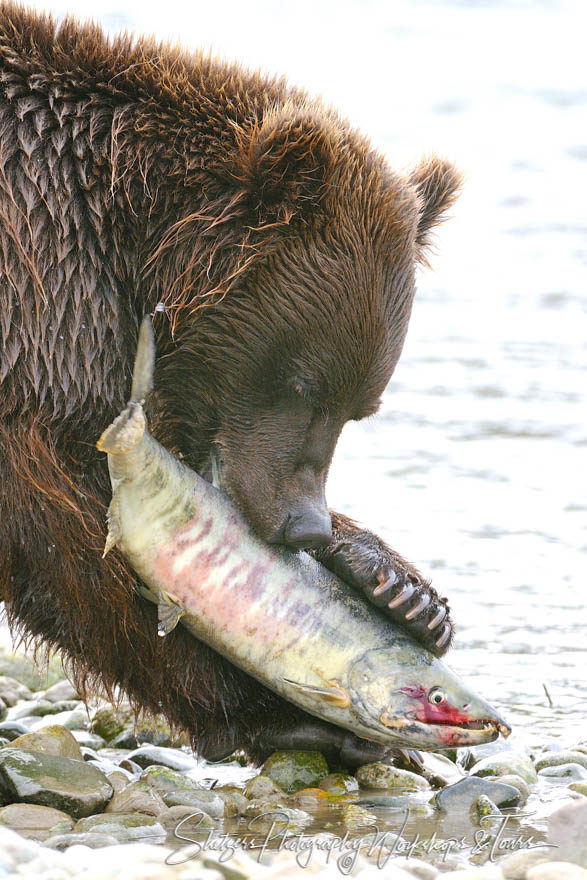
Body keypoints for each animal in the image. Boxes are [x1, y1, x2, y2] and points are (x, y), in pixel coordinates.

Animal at [0, 5, 464, 764]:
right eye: (303, 385)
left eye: (361, 409)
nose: (305, 524)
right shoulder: (40, 300)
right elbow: (61, 531)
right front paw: (277, 710)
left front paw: (400, 588)